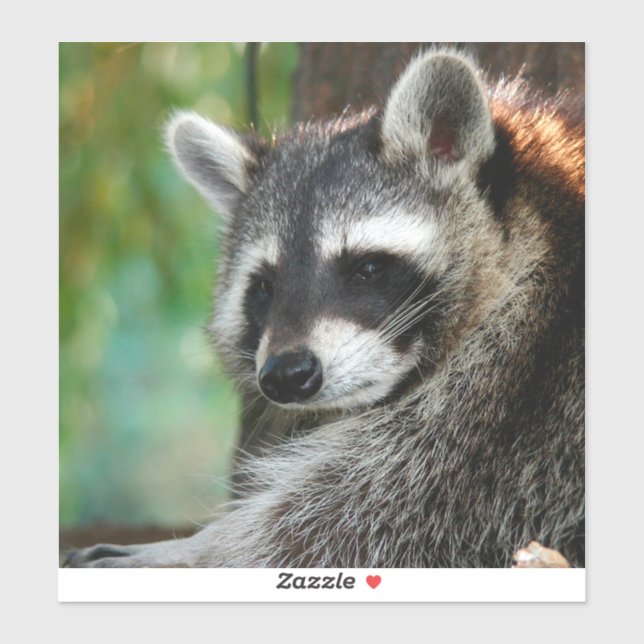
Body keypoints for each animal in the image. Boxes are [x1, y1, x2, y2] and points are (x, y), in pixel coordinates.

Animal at [65, 50, 584, 568]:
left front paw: (192, 553)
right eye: (265, 286)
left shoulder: (515, 402)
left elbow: (353, 525)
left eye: (368, 267)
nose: (286, 375)